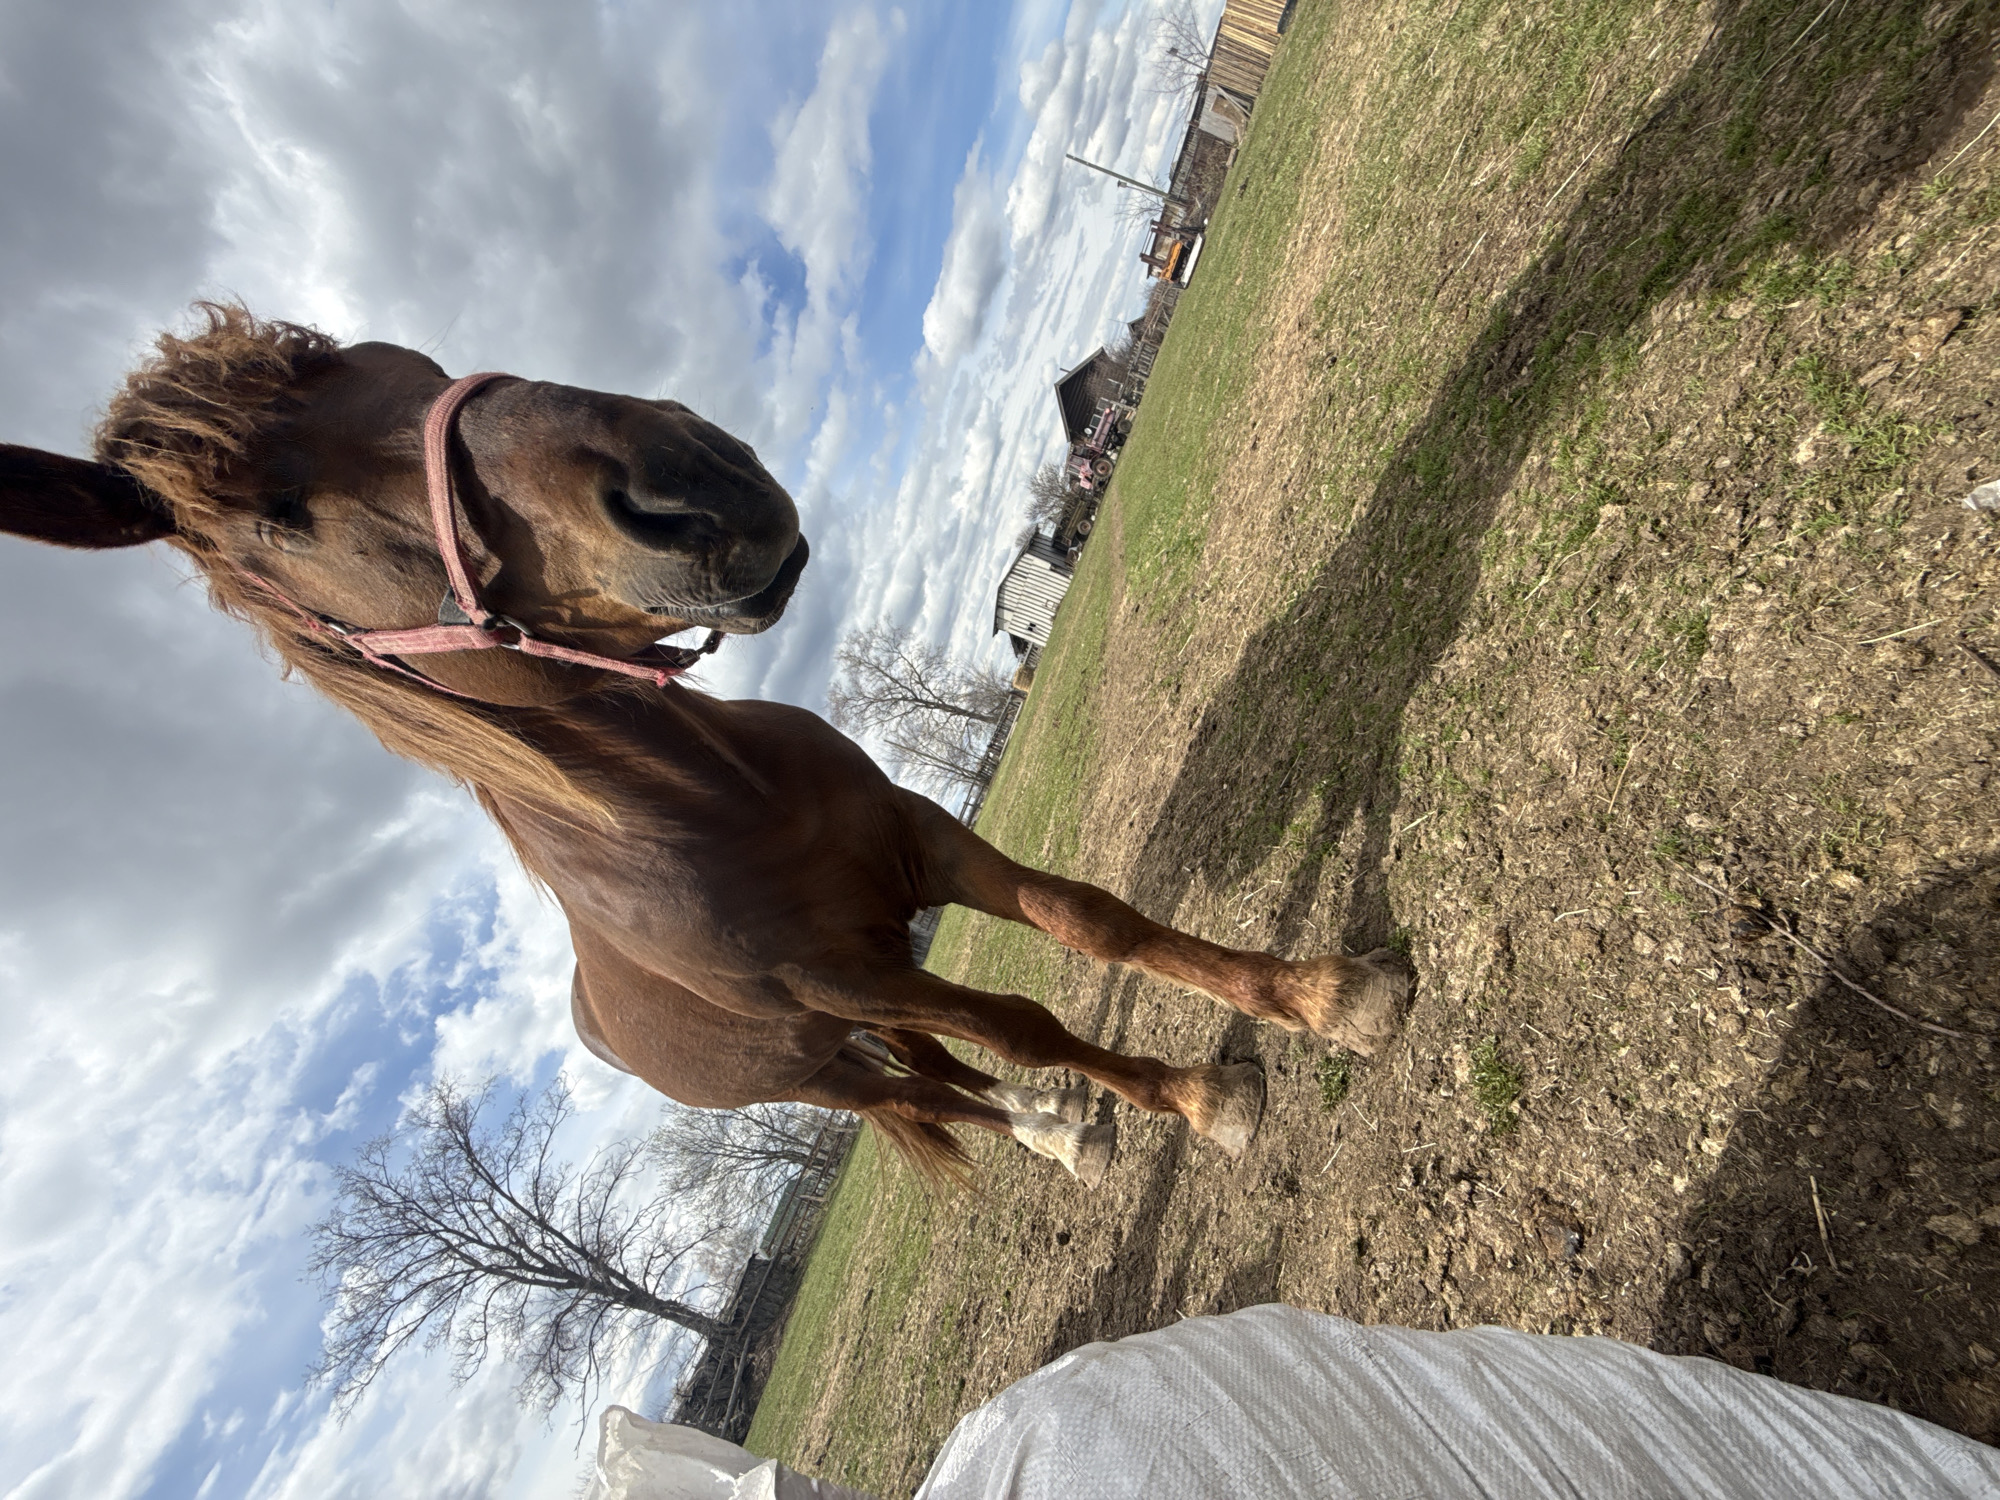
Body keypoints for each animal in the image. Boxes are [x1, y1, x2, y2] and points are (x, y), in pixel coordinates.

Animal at [0, 303, 1410, 1189]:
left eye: (381, 356)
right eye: (281, 517)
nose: (688, 482)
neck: (717, 814)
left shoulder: (920, 854)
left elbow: (1089, 924)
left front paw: (1324, 997)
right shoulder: (843, 982)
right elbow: (1022, 1024)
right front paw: (1201, 1100)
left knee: (947, 1071)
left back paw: (1069, 1126)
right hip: (822, 1068)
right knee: (933, 1092)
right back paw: (1064, 1130)